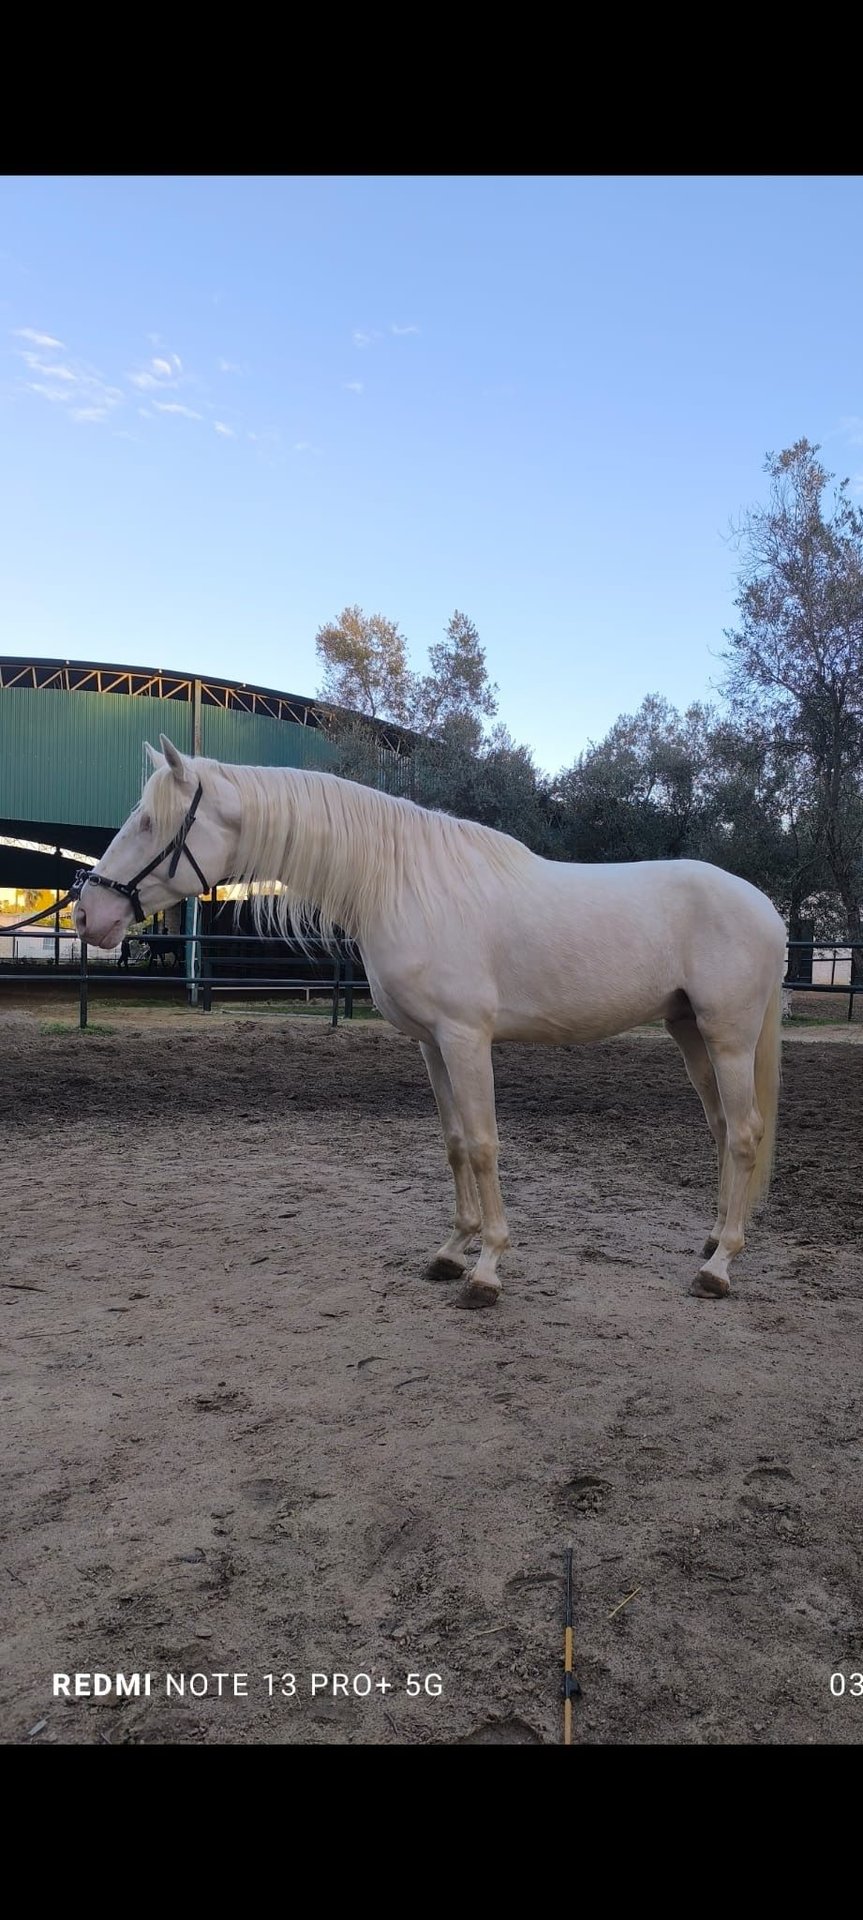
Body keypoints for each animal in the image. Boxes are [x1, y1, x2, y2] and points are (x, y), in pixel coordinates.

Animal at [74, 733, 787, 1308]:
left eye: (148, 822)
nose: (87, 916)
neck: (406, 884)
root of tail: (766, 908)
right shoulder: (431, 1045)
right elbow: (453, 1143)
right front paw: (451, 1252)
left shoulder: (466, 1039)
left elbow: (484, 1143)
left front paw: (488, 1269)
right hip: (688, 1030)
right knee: (721, 1129)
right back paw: (712, 1240)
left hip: (727, 1036)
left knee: (744, 1133)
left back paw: (720, 1266)